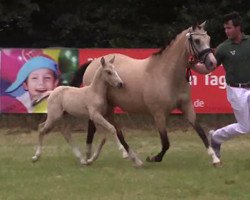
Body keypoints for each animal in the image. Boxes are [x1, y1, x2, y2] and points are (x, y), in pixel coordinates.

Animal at [72, 21, 221, 166]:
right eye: (197, 40)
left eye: (208, 39)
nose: (212, 62)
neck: (166, 75)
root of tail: (92, 63)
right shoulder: (158, 114)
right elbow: (165, 143)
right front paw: (154, 158)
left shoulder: (187, 107)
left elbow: (201, 132)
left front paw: (215, 159)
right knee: (94, 128)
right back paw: (89, 157)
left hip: (110, 107)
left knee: (115, 130)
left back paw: (130, 157)